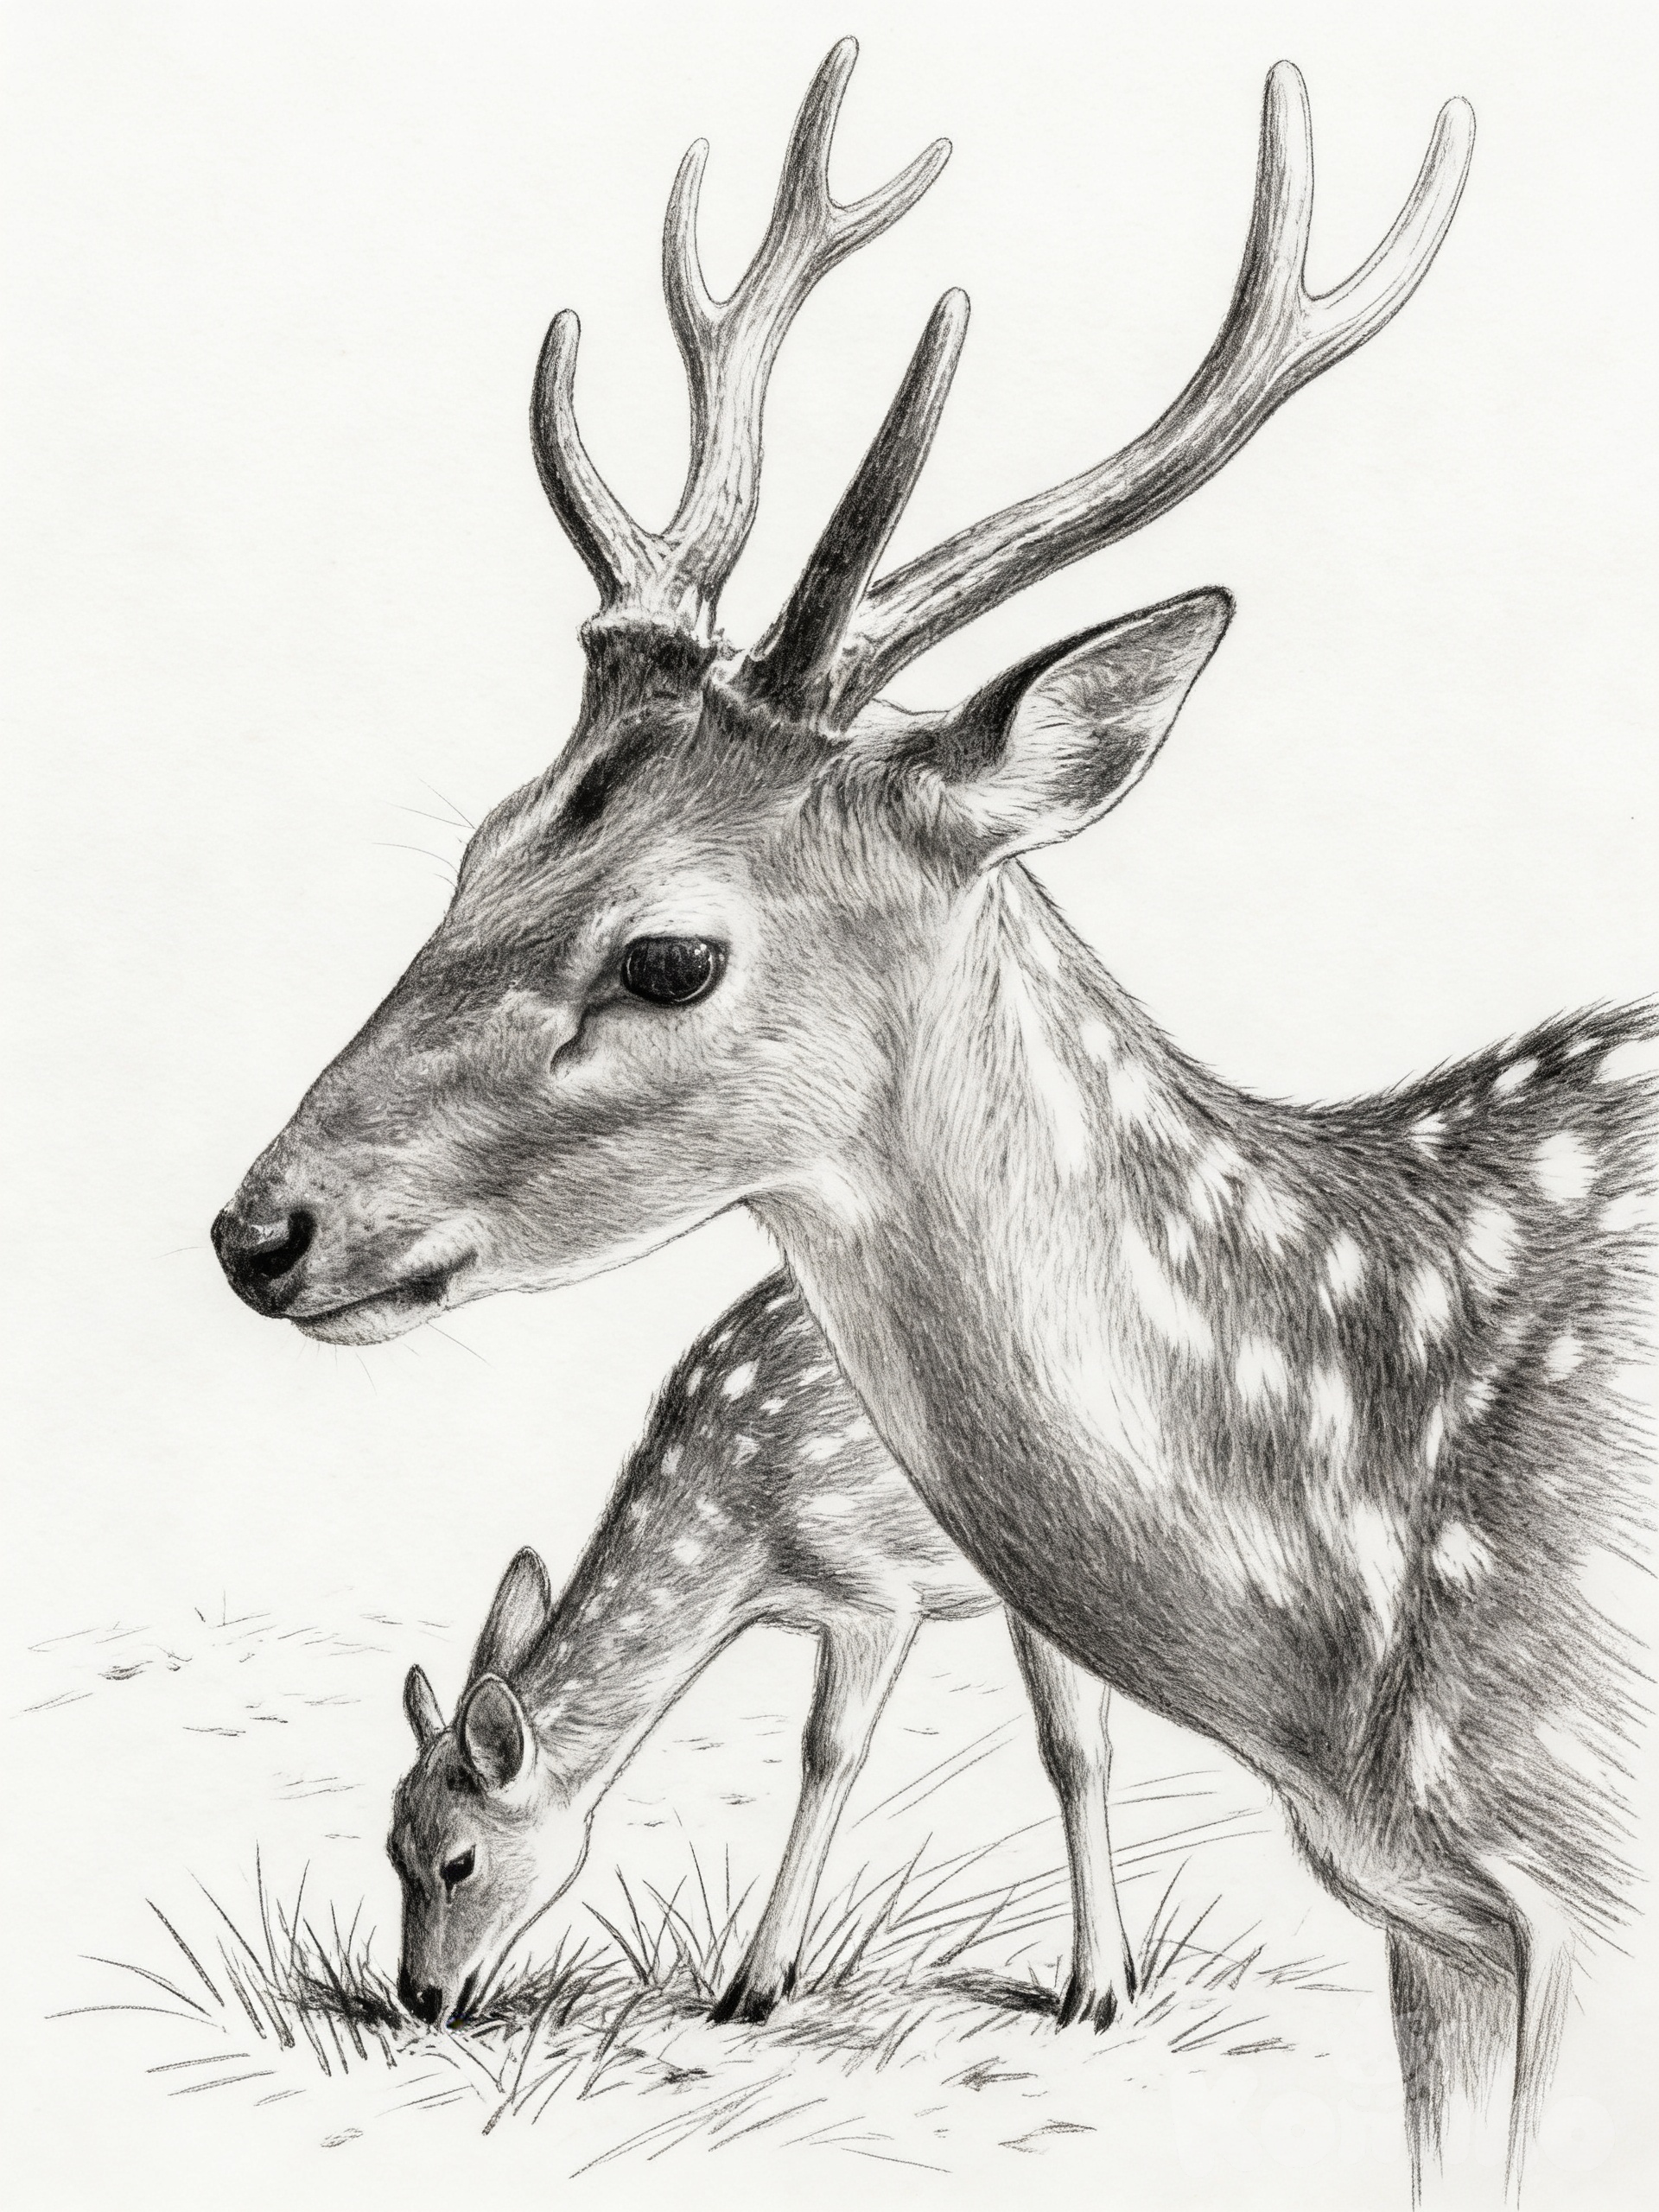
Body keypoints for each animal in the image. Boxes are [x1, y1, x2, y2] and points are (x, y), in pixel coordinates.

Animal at [389, 1271, 1135, 2033]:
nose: (418, 1997)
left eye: (460, 1862)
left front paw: (755, 1986)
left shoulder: (879, 1593)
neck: (755, 1549)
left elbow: (843, 1750)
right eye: (393, 1852)